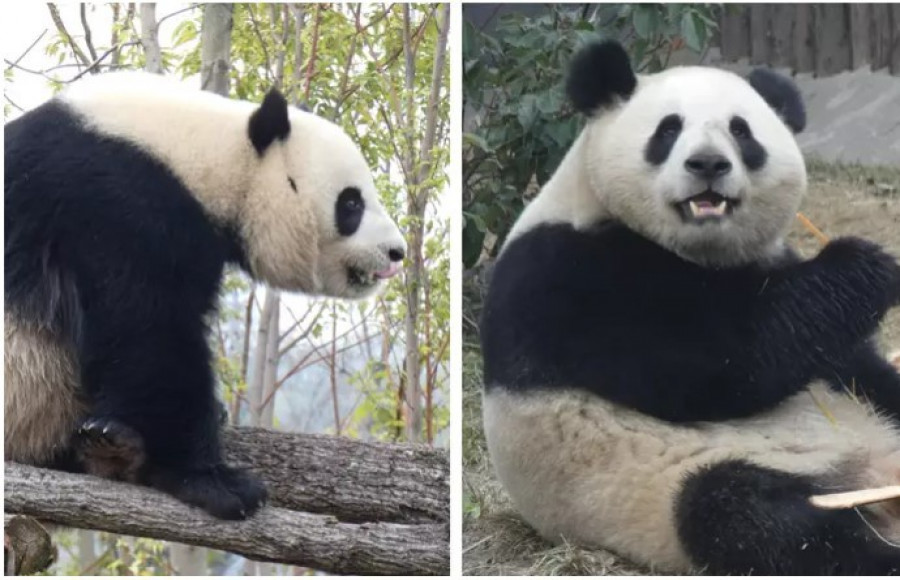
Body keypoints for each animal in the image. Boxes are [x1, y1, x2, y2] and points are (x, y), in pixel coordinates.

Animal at [5, 72, 406, 520]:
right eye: (351, 203)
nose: (397, 252)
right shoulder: (115, 206)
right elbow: (147, 332)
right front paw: (214, 481)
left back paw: (114, 445)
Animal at [482, 40, 900, 576]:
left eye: (741, 131)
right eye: (668, 129)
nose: (707, 165)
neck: (697, 252)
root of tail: (871, 474)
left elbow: (845, 358)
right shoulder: (565, 278)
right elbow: (714, 367)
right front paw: (865, 265)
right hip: (672, 483)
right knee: (746, 515)